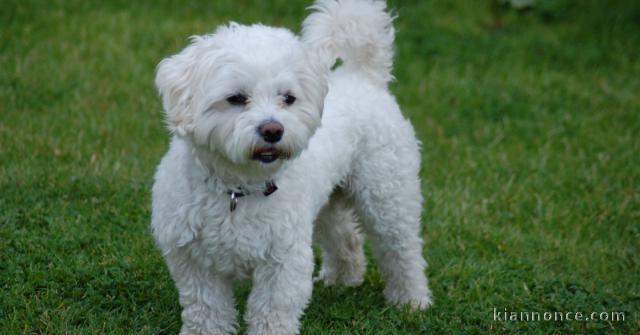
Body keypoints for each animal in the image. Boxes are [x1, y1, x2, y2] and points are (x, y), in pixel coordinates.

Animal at [151, 1, 430, 334]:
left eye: (288, 98)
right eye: (236, 98)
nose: (273, 130)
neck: (238, 188)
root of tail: (363, 76)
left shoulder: (283, 263)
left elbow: (271, 315)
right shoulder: (195, 265)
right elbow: (206, 312)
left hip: (388, 197)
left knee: (403, 251)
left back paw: (412, 301)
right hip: (326, 204)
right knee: (346, 237)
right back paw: (343, 279)